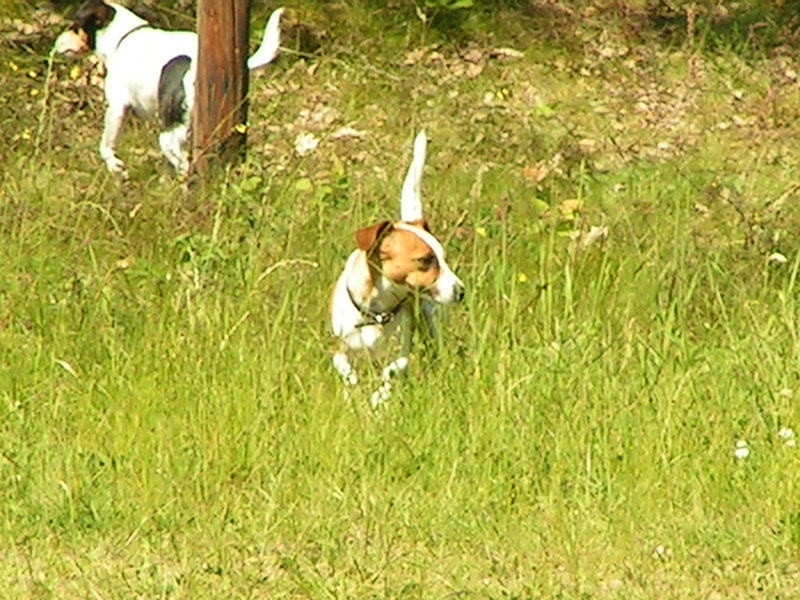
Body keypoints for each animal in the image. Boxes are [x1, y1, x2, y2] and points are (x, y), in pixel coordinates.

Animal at [54, 0, 284, 178]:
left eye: (74, 26)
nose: (55, 44)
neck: (123, 37)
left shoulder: (118, 107)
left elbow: (106, 146)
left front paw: (116, 167)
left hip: (169, 134)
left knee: (182, 161)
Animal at [330, 131, 465, 407]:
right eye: (426, 260)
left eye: (443, 258)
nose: (461, 291)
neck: (376, 312)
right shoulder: (339, 350)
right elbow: (346, 371)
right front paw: (353, 393)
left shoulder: (400, 354)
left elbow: (391, 373)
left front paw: (378, 401)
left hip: (432, 319)